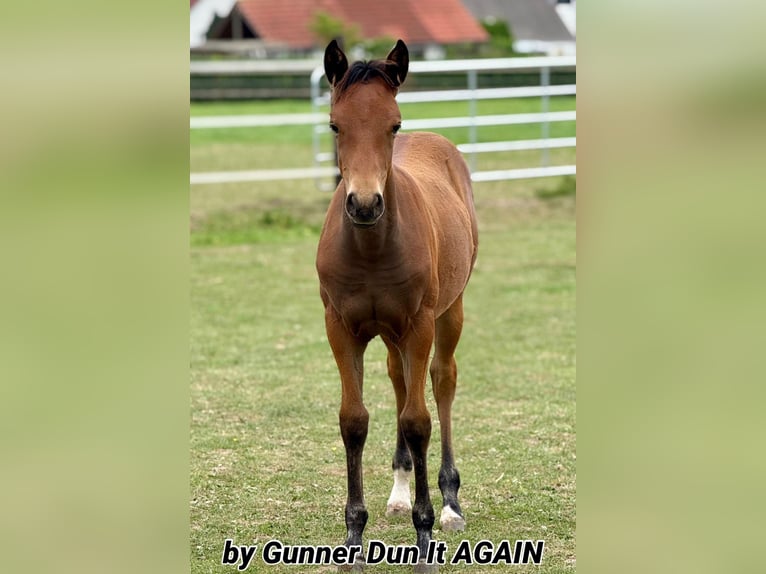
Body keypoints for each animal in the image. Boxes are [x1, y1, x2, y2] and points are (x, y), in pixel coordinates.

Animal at [316, 39, 478, 573]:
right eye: (335, 125)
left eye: (394, 124)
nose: (365, 204)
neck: (371, 246)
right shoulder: (340, 328)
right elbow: (354, 420)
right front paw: (353, 538)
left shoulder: (419, 325)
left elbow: (417, 421)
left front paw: (425, 536)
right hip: (389, 334)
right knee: (398, 379)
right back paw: (398, 492)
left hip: (449, 312)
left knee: (441, 382)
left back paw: (449, 504)